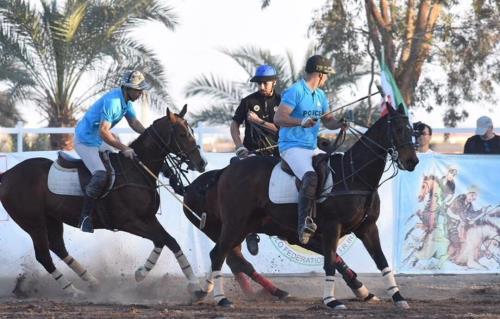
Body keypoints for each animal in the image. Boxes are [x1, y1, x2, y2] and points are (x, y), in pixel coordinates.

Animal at [0, 106, 207, 298]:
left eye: (191, 131)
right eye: (182, 134)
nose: (202, 163)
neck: (136, 170)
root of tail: (7, 174)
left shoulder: (148, 218)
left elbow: (165, 240)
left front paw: (142, 273)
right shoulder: (128, 222)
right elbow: (167, 240)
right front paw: (195, 286)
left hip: (52, 218)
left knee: (58, 247)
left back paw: (92, 281)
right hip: (33, 222)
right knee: (44, 256)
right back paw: (73, 291)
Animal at [195, 104, 418, 310]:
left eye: (412, 130)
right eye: (398, 129)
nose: (412, 161)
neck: (355, 176)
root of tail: (226, 170)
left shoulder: (368, 227)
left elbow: (382, 261)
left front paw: (398, 298)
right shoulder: (332, 227)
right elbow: (330, 262)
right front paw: (331, 300)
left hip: (246, 225)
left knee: (220, 253)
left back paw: (207, 292)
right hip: (235, 222)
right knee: (219, 254)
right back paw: (221, 298)